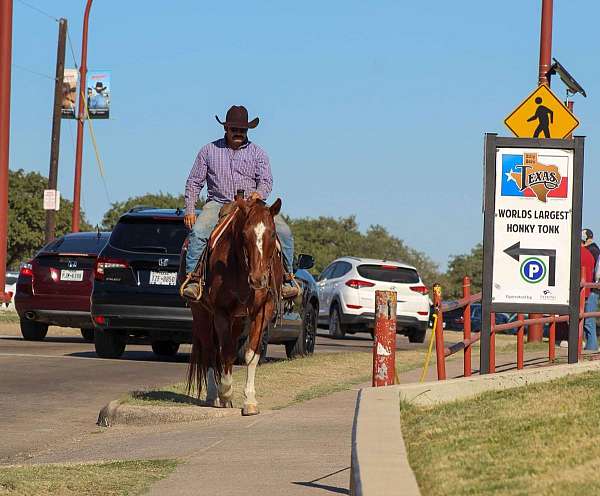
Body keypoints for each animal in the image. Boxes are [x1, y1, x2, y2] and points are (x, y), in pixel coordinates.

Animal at [185, 196, 284, 416]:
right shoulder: (221, 312)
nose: (258, 279)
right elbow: (226, 353)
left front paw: (250, 401)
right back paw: (214, 396)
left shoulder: (262, 311)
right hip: (202, 313)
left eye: (273, 234)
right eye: (244, 234)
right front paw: (226, 392)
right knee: (210, 351)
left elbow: (251, 354)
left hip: (238, 319)